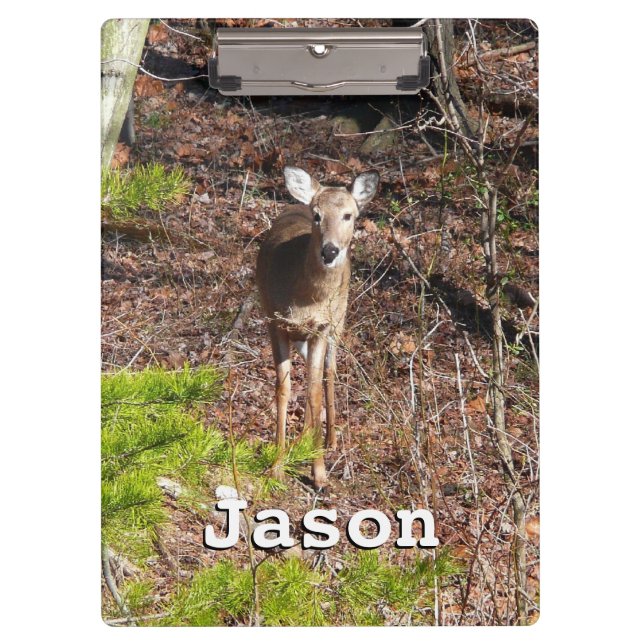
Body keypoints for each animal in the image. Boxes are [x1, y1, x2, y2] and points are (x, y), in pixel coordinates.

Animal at [256, 166, 379, 490]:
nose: (330, 251)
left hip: (339, 320)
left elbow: (312, 392)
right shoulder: (275, 321)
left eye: (349, 215)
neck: (306, 299)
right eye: (317, 215)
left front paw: (319, 473)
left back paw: (329, 440)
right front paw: (276, 466)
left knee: (329, 373)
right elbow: (283, 389)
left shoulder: (322, 328)